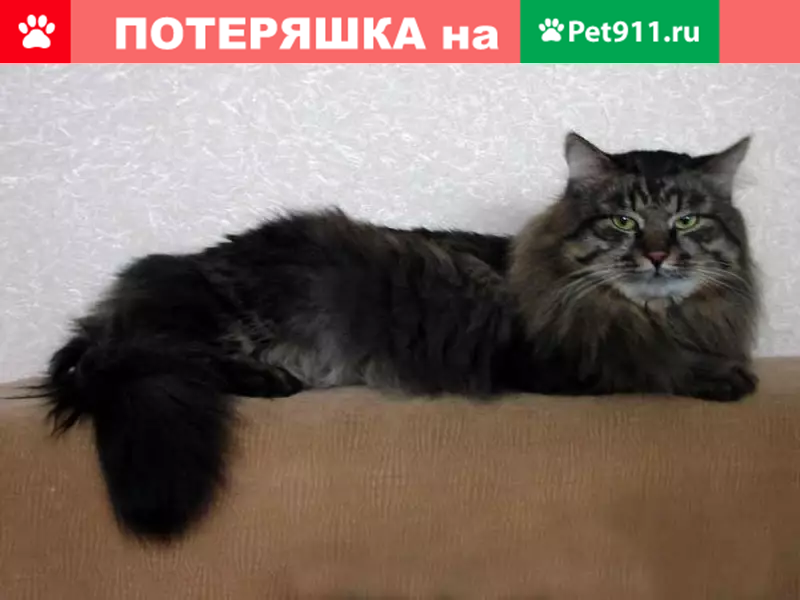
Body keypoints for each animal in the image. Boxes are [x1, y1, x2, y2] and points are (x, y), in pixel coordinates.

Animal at [44, 132, 759, 541]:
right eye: (623, 221)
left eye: (688, 221)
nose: (660, 256)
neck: (653, 314)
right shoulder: (560, 359)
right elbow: (651, 365)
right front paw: (724, 376)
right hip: (214, 325)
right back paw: (269, 378)